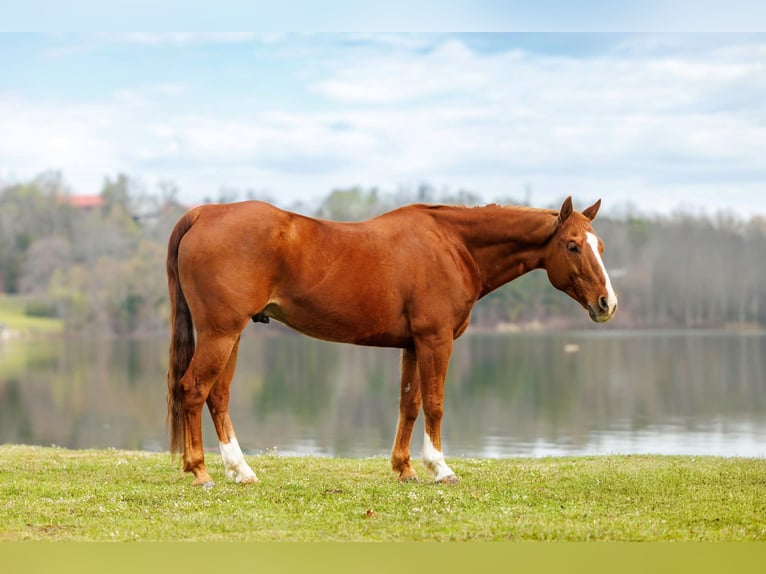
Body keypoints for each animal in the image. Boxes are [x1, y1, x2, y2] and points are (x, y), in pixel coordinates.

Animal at [166, 196, 617, 487]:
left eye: (600, 245)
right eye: (572, 246)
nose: (607, 304)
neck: (453, 244)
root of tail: (204, 213)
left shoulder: (413, 344)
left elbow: (410, 404)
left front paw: (405, 469)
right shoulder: (436, 340)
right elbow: (434, 404)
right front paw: (440, 469)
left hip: (232, 334)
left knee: (217, 396)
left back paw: (240, 471)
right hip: (221, 333)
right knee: (192, 389)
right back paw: (200, 472)